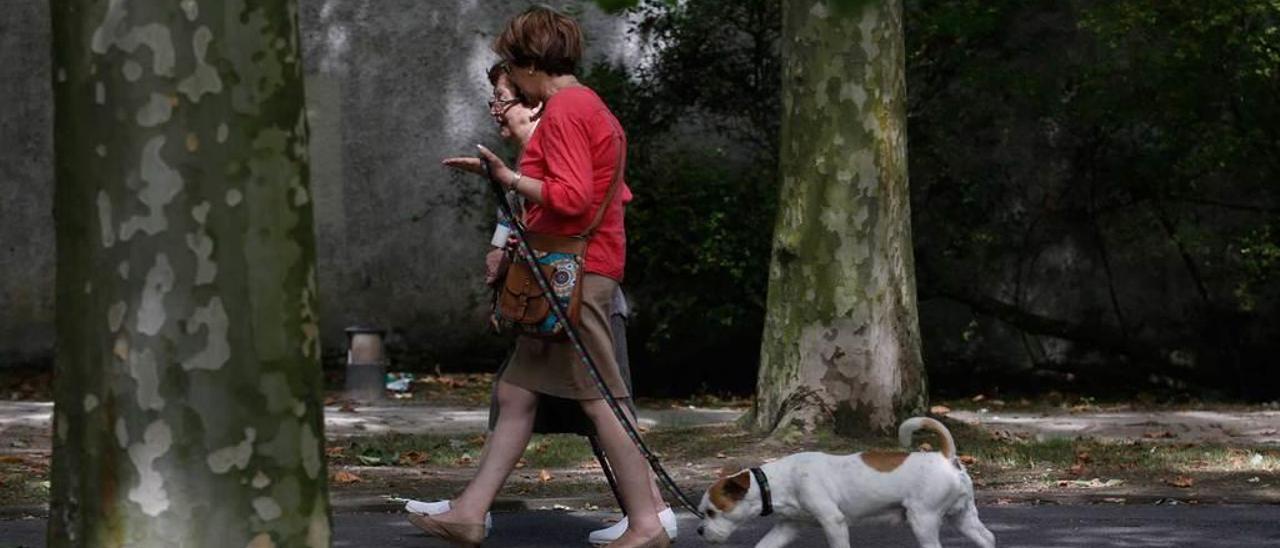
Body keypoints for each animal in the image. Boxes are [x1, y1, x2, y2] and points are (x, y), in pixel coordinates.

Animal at [696, 417, 993, 545]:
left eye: (711, 512)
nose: (699, 530)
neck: (776, 483)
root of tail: (946, 457)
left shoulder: (833, 522)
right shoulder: (787, 527)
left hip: (923, 520)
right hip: (963, 518)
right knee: (987, 538)